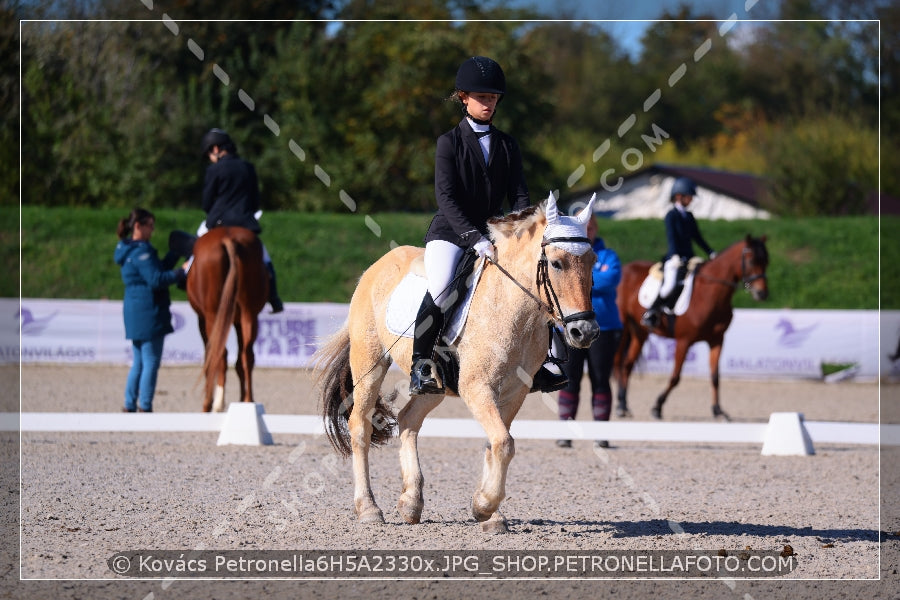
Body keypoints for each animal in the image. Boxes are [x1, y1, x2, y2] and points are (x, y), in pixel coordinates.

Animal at [184, 225, 266, 412]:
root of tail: (228, 238)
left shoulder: (202, 320)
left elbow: (209, 357)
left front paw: (209, 401)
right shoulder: (237, 321)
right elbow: (239, 363)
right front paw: (242, 398)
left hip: (213, 316)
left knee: (219, 353)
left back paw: (216, 403)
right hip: (249, 314)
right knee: (247, 355)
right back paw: (248, 401)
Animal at [316, 195, 596, 532]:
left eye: (593, 261)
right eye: (556, 263)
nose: (586, 331)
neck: (512, 308)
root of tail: (376, 266)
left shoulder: (514, 391)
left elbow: (496, 442)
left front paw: (490, 514)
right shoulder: (476, 387)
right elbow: (504, 442)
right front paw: (484, 504)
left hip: (434, 384)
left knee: (409, 419)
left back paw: (411, 502)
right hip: (369, 361)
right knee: (360, 425)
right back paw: (369, 509)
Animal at [616, 232, 768, 420]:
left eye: (766, 261)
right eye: (752, 261)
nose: (762, 294)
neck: (710, 294)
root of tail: (625, 268)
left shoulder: (717, 340)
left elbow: (715, 376)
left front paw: (718, 410)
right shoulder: (684, 341)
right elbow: (675, 377)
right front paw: (657, 407)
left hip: (640, 332)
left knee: (627, 365)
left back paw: (624, 405)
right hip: (623, 328)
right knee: (619, 362)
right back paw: (620, 407)